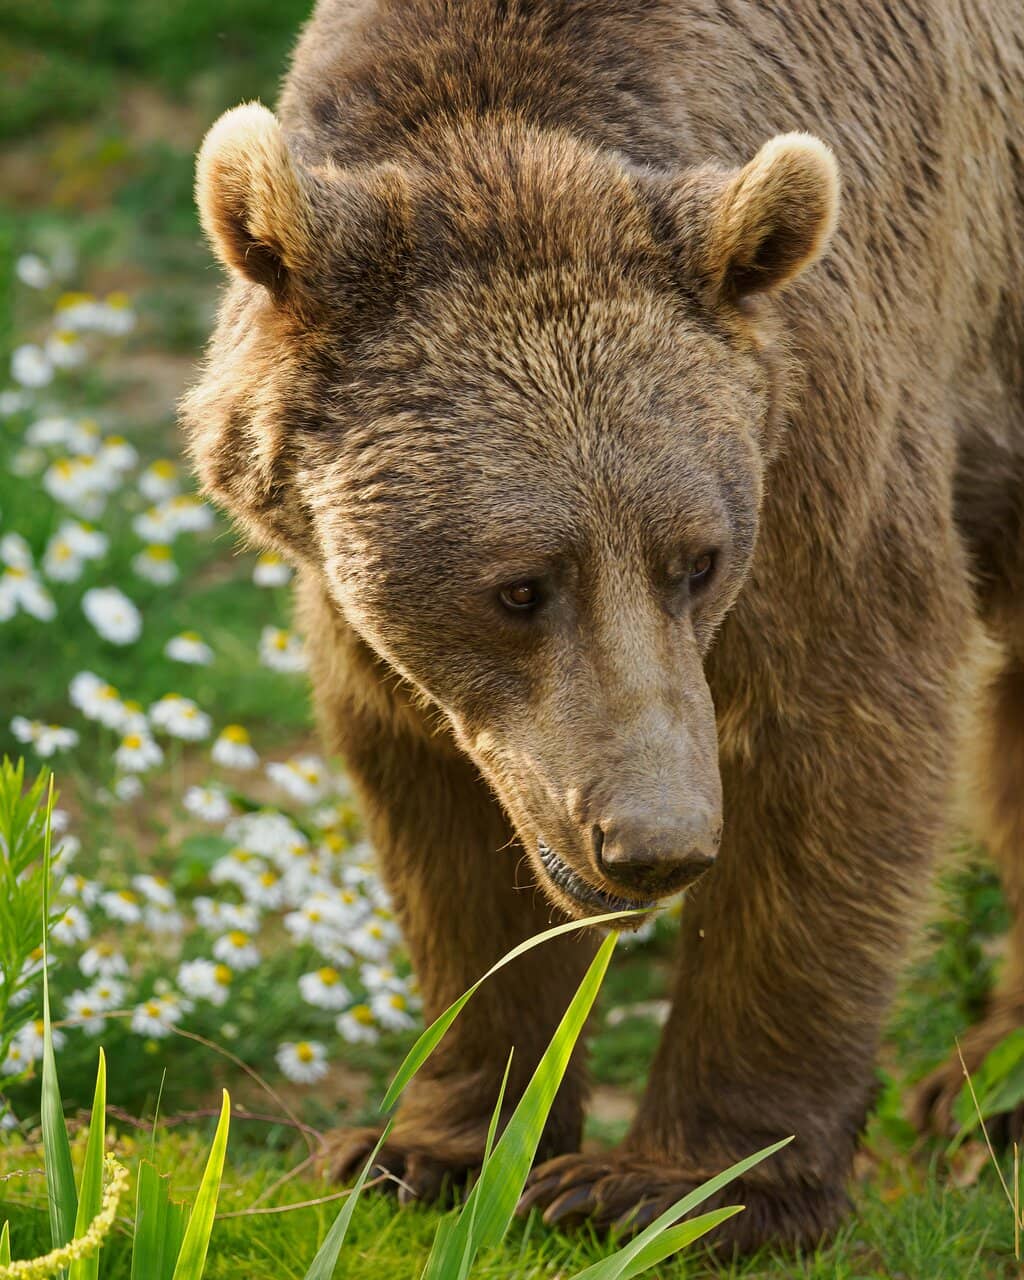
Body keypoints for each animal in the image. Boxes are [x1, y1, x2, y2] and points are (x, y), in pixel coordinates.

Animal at [181, 0, 1024, 1254]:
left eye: (698, 559)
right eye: (518, 585)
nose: (652, 843)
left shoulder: (820, 425)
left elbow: (836, 731)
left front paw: (676, 1181)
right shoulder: (364, 600)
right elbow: (437, 802)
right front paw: (429, 1144)